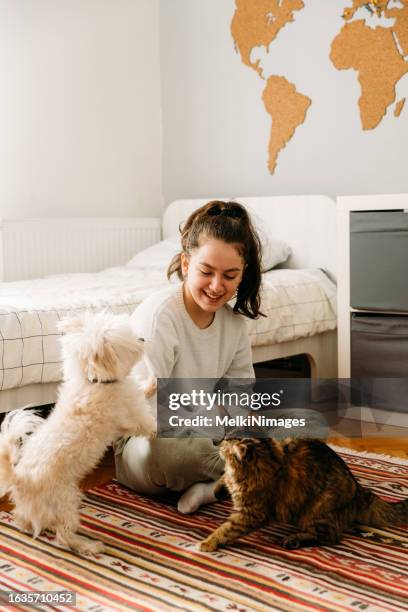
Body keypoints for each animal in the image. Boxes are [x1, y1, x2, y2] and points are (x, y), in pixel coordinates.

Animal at [0, 310, 155, 556]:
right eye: (128, 344)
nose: (142, 339)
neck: (93, 381)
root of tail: (22, 480)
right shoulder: (135, 414)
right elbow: (149, 421)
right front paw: (153, 384)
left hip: (33, 507)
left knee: (23, 520)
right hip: (66, 500)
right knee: (63, 537)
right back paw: (89, 545)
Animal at [199, 438, 406, 552]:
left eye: (226, 445)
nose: (218, 443)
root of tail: (358, 489)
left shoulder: (250, 514)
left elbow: (226, 529)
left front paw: (208, 542)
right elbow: (223, 479)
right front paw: (218, 489)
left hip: (317, 511)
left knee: (330, 537)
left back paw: (293, 540)